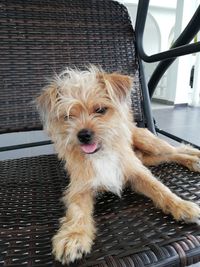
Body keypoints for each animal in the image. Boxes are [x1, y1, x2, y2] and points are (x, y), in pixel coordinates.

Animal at [36, 67, 200, 266]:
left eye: (100, 110)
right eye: (68, 117)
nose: (83, 135)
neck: (102, 153)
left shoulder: (138, 173)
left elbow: (160, 189)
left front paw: (182, 206)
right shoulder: (80, 188)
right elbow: (77, 211)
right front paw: (74, 236)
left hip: (148, 143)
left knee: (177, 149)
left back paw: (195, 158)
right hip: (147, 158)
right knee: (169, 155)